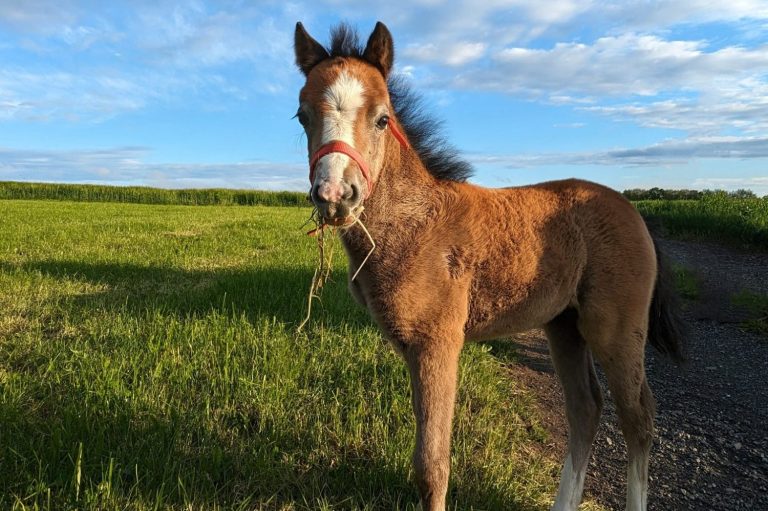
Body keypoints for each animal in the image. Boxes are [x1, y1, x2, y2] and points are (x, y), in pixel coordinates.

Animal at [292, 21, 684, 511]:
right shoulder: (414, 347)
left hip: (616, 329)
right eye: (302, 116)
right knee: (585, 409)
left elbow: (432, 465)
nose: (335, 195)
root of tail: (634, 212)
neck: (415, 222)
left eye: (382, 119)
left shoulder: (438, 341)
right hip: (564, 325)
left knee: (638, 420)